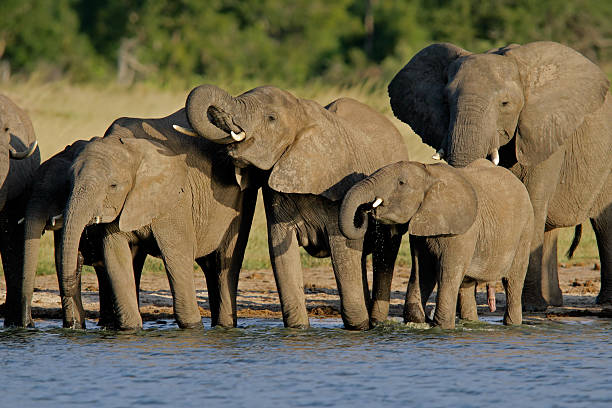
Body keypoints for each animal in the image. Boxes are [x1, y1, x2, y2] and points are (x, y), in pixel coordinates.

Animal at [59, 110, 256, 330]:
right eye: (69, 182)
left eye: (113, 185)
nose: (80, 260)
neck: (130, 147)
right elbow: (115, 256)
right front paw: (131, 329)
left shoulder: (175, 201)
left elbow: (177, 255)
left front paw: (192, 328)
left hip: (242, 200)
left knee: (224, 261)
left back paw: (224, 326)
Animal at [175, 85, 408, 328]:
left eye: (271, 118)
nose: (364, 213)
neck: (302, 112)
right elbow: (281, 253)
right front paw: (298, 328)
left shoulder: (339, 184)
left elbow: (343, 250)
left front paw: (357, 328)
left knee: (385, 255)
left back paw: (376, 322)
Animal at [338, 158, 532, 330]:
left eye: (401, 183)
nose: (365, 211)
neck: (430, 174)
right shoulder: (421, 228)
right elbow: (423, 271)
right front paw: (421, 321)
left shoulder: (463, 231)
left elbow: (447, 272)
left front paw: (442, 327)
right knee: (466, 284)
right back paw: (471, 324)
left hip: (525, 231)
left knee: (513, 280)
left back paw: (513, 325)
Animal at [390, 40, 608, 310]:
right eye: (446, 101)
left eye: (505, 104)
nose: (491, 299)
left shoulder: (544, 132)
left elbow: (533, 202)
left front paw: (531, 308)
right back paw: (553, 303)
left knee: (603, 224)